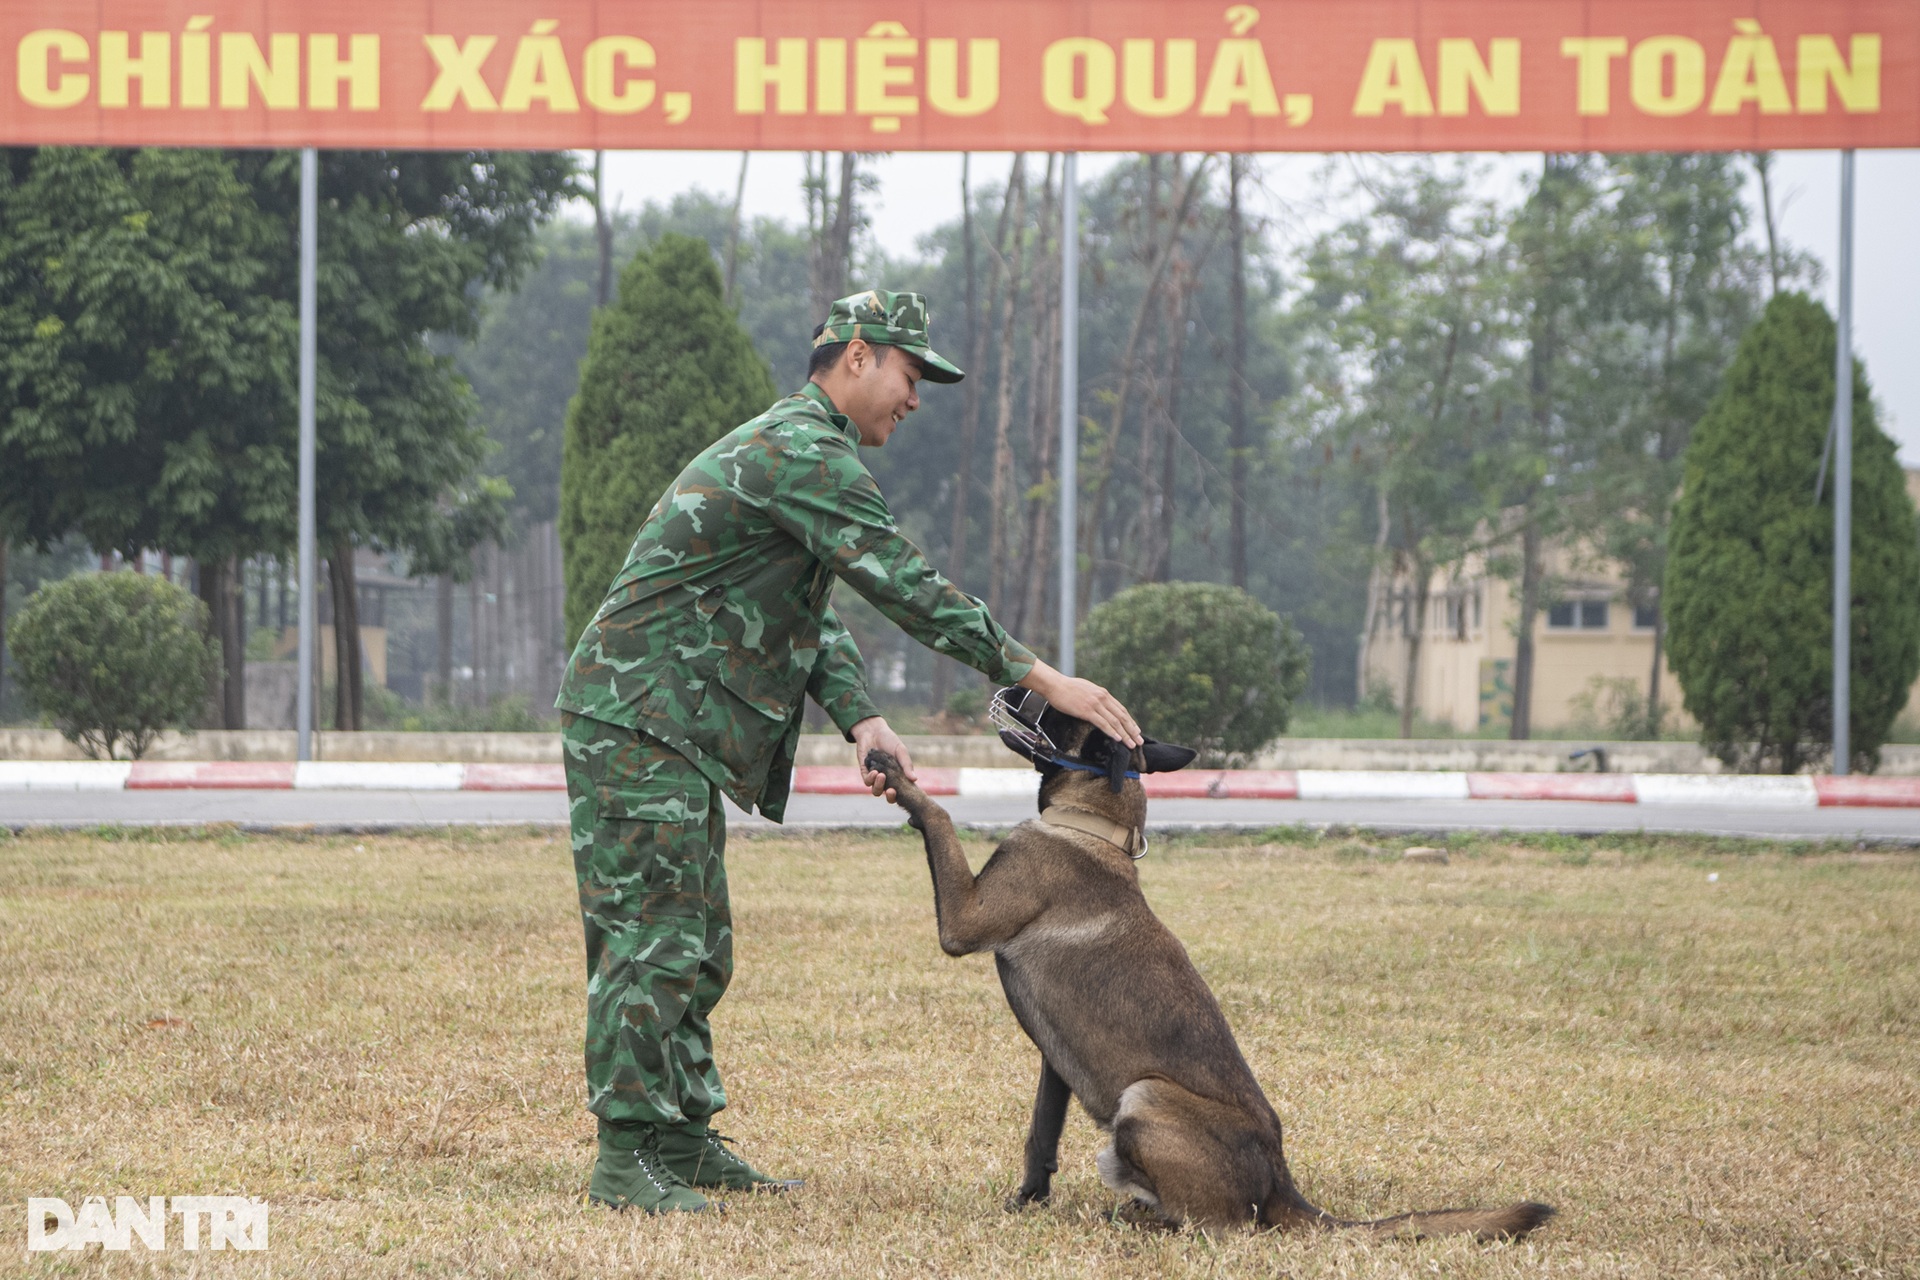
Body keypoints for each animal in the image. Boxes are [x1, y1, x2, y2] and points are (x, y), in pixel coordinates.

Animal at [864, 690, 1551, 1243]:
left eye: (1056, 709)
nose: (1013, 685)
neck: (1093, 826)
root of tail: (1281, 1181)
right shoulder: (1055, 1064)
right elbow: (1041, 1135)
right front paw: (1028, 1199)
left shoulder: (965, 921)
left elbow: (939, 815)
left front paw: (895, 771)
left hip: (1143, 1098)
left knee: (1218, 1225)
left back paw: (1145, 1219)